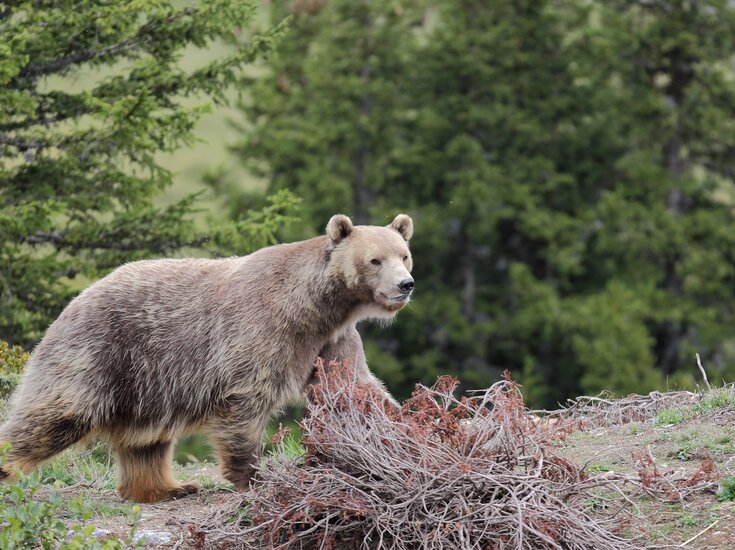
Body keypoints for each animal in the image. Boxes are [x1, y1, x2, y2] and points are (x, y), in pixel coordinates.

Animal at [0, 215, 414, 504]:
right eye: (375, 260)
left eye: (404, 254)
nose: (405, 285)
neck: (315, 308)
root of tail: (75, 299)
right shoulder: (263, 332)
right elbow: (246, 401)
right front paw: (253, 475)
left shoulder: (331, 341)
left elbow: (354, 387)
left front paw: (405, 429)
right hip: (99, 354)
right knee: (54, 415)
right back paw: (9, 468)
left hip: (147, 385)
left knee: (145, 442)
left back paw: (169, 487)